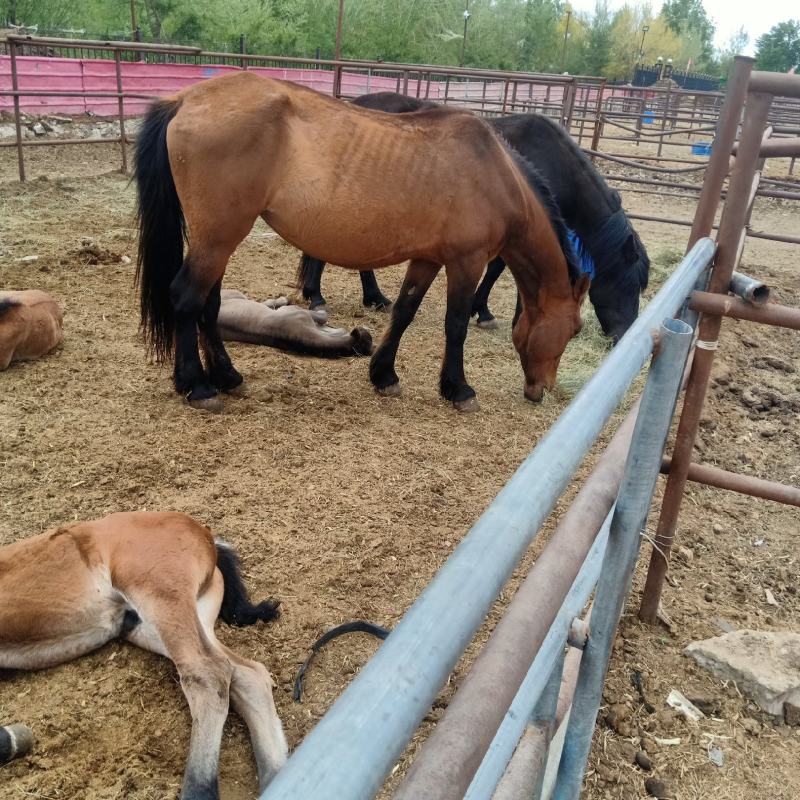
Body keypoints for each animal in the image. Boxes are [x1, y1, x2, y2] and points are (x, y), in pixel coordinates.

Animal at [0, 511, 287, 800]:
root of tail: (204, 533)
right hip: (154, 623)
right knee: (247, 674)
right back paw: (277, 775)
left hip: (157, 592)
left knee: (208, 673)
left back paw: (199, 790)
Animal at [134, 73, 589, 412]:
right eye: (575, 329)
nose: (541, 390)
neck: (495, 175)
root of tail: (184, 100)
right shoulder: (467, 261)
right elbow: (456, 325)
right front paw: (458, 389)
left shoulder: (427, 259)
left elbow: (403, 311)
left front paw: (384, 375)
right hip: (219, 235)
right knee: (187, 298)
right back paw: (198, 386)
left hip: (219, 240)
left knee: (208, 304)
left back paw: (227, 377)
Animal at [299, 93, 650, 343]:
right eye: (630, 285)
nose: (624, 335)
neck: (552, 164)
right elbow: (500, 271)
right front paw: (491, 313)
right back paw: (318, 297)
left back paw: (370, 298)